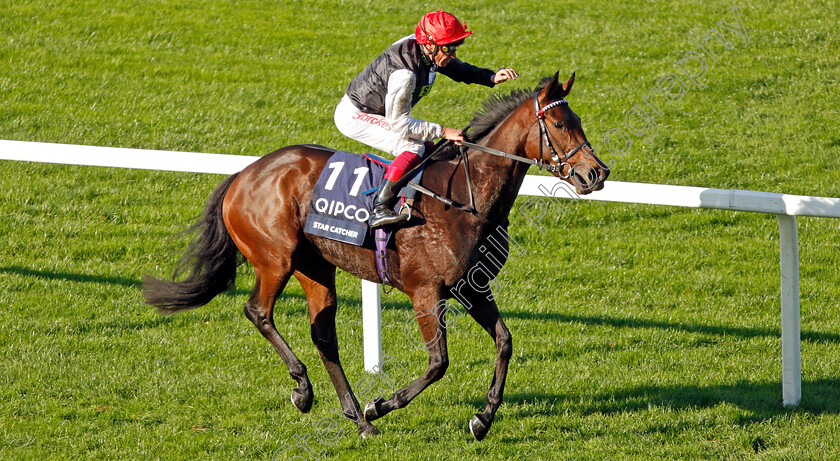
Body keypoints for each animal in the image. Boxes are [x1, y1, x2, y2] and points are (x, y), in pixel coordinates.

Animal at [143, 71, 604, 438]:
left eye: (578, 122)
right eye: (559, 124)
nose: (597, 173)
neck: (464, 197)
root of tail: (243, 173)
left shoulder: (471, 286)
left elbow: (505, 342)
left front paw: (482, 419)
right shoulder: (425, 291)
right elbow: (438, 362)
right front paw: (381, 403)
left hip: (315, 266)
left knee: (323, 333)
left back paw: (356, 418)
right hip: (276, 259)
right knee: (258, 312)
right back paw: (306, 391)